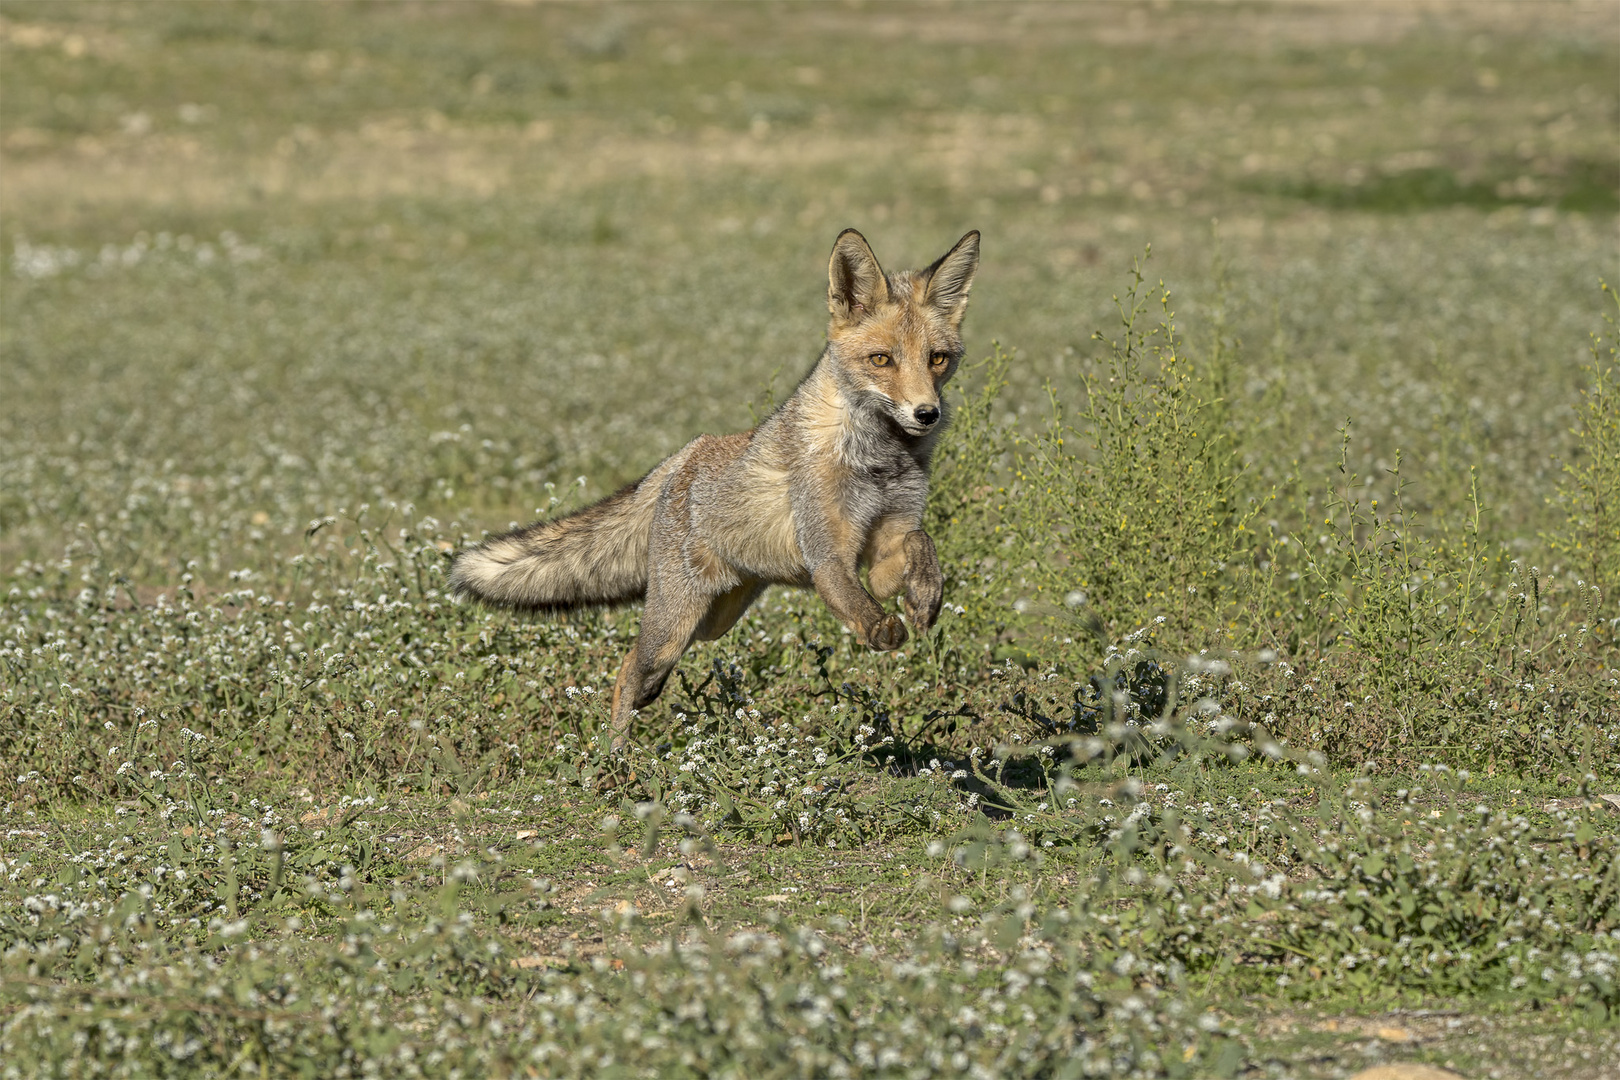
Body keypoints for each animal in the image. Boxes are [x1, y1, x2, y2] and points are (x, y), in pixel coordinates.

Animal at [450, 228, 978, 735]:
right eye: (881, 360)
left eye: (937, 359)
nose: (926, 414)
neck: (881, 461)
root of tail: (681, 456)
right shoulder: (829, 557)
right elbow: (857, 601)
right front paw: (882, 629)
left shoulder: (885, 547)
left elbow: (921, 542)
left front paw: (926, 598)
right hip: (675, 625)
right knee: (629, 669)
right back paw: (614, 758)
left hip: (710, 624)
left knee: (633, 661)